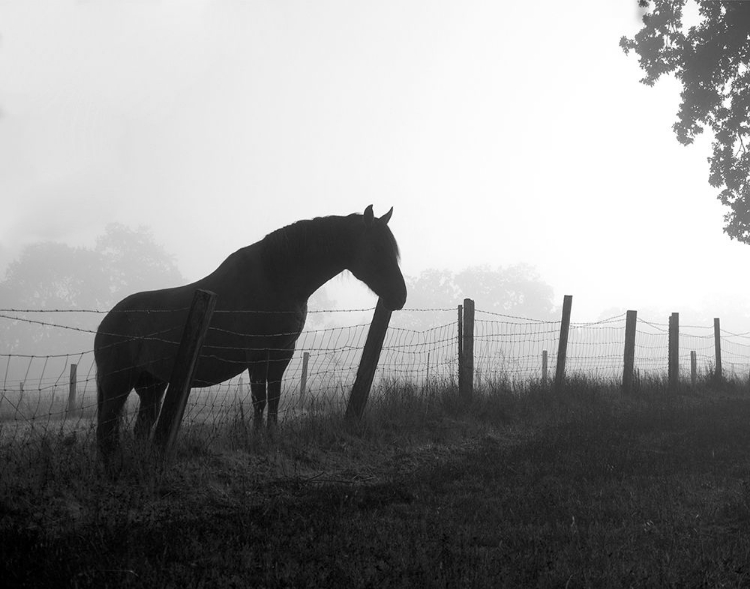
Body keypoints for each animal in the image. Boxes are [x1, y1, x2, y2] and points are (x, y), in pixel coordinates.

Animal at [97, 206, 408, 460]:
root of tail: (109, 320)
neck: (277, 279)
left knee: (139, 427)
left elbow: (275, 396)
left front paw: (272, 435)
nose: (400, 296)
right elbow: (259, 397)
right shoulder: (258, 354)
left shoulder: (283, 354)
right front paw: (257, 439)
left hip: (151, 384)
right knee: (106, 425)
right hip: (117, 382)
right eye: (376, 249)